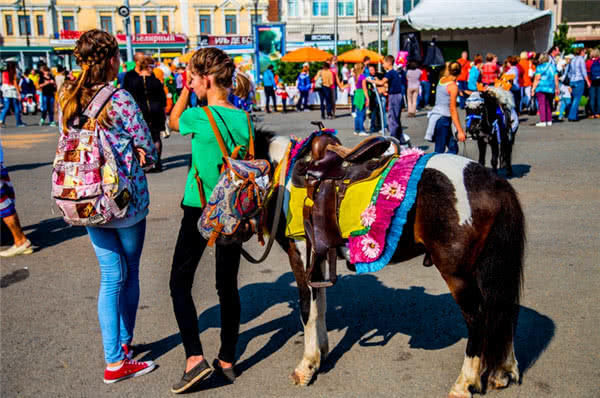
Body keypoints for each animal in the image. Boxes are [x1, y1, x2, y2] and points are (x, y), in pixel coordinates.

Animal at [254, 128, 524, 398]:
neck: (282, 173)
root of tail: (494, 181)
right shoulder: (319, 258)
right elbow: (320, 306)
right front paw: (322, 354)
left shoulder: (300, 253)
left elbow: (307, 310)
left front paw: (307, 367)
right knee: (502, 308)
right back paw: (502, 371)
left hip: (457, 273)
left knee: (478, 318)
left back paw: (464, 383)